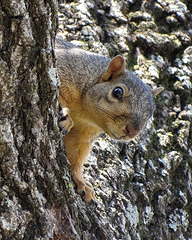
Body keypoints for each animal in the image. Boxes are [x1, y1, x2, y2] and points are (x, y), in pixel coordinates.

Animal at [55, 33, 164, 202]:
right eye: (117, 92)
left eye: (151, 112)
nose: (131, 131)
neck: (84, 113)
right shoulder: (64, 68)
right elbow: (59, 95)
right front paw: (66, 118)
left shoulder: (84, 134)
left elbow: (76, 156)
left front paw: (81, 181)